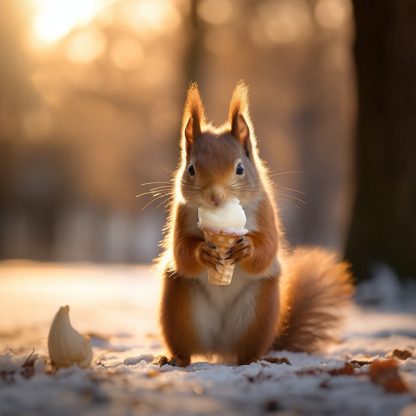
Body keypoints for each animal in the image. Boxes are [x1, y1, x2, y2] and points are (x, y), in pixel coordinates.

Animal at [156, 82, 354, 368]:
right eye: (191, 168)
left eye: (240, 168)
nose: (214, 197)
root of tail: (220, 348)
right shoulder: (180, 215)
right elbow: (182, 251)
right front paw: (203, 251)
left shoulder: (266, 212)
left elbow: (268, 247)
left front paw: (247, 248)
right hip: (178, 306)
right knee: (185, 346)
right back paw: (175, 359)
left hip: (260, 311)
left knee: (248, 351)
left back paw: (261, 360)